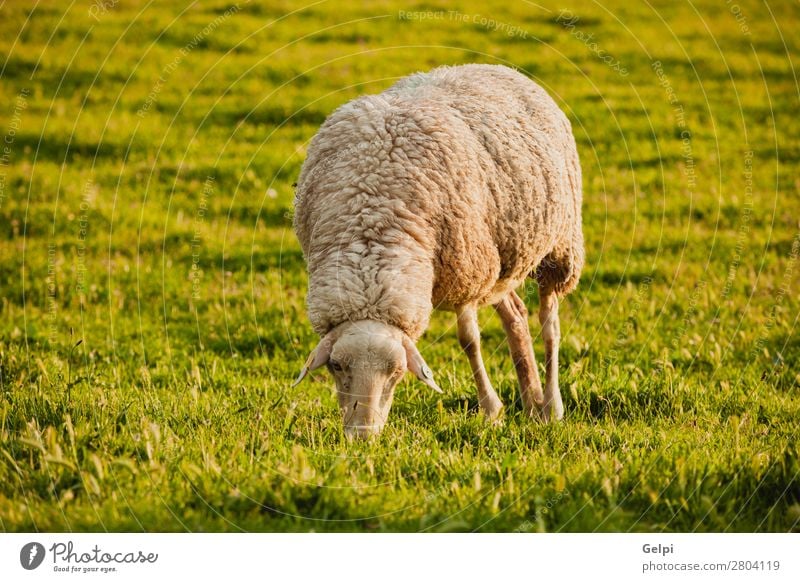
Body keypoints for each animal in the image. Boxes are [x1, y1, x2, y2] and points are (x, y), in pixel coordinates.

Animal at [290, 64, 584, 438]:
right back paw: (531, 401)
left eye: (397, 371)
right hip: (499, 258)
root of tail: (496, 67)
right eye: (337, 366)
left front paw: (490, 409)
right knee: (516, 314)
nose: (362, 434)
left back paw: (551, 405)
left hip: (557, 247)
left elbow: (469, 340)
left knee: (550, 322)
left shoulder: (466, 269)